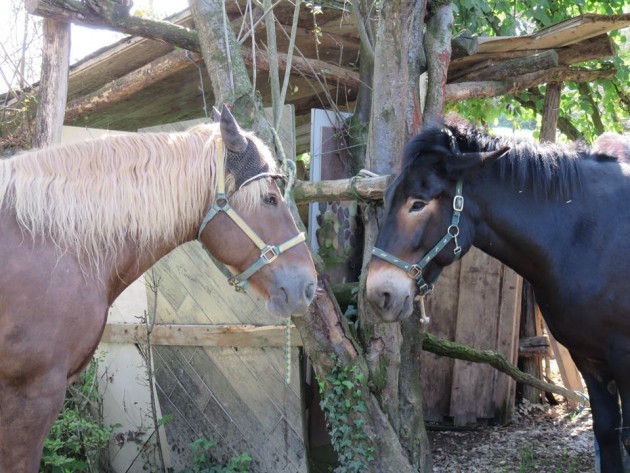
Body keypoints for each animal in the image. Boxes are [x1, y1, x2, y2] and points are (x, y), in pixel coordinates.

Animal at [366, 115, 630, 472]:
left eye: (417, 203)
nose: (378, 292)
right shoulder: (588, 358)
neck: (588, 234)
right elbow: (607, 432)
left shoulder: (624, 356)